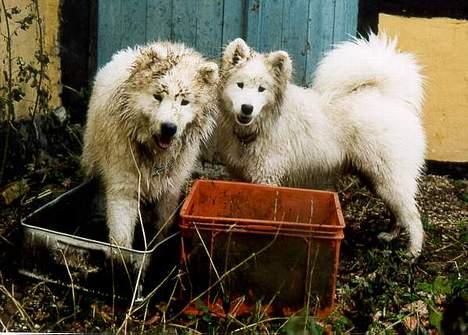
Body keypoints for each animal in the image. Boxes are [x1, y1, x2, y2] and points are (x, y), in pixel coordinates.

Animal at [81, 42, 218, 249]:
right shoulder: (124, 176)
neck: (154, 152)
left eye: (185, 102)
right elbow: (121, 227)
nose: (169, 128)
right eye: (157, 96)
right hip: (91, 153)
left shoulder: (170, 187)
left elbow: (162, 224)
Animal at [218, 34, 426, 258]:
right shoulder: (242, 178)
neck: (260, 126)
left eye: (261, 89)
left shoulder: (266, 178)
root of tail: (388, 97)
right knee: (398, 212)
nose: (247, 108)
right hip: (376, 178)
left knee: (413, 217)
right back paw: (390, 235)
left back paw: (413, 252)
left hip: (388, 178)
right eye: (240, 85)